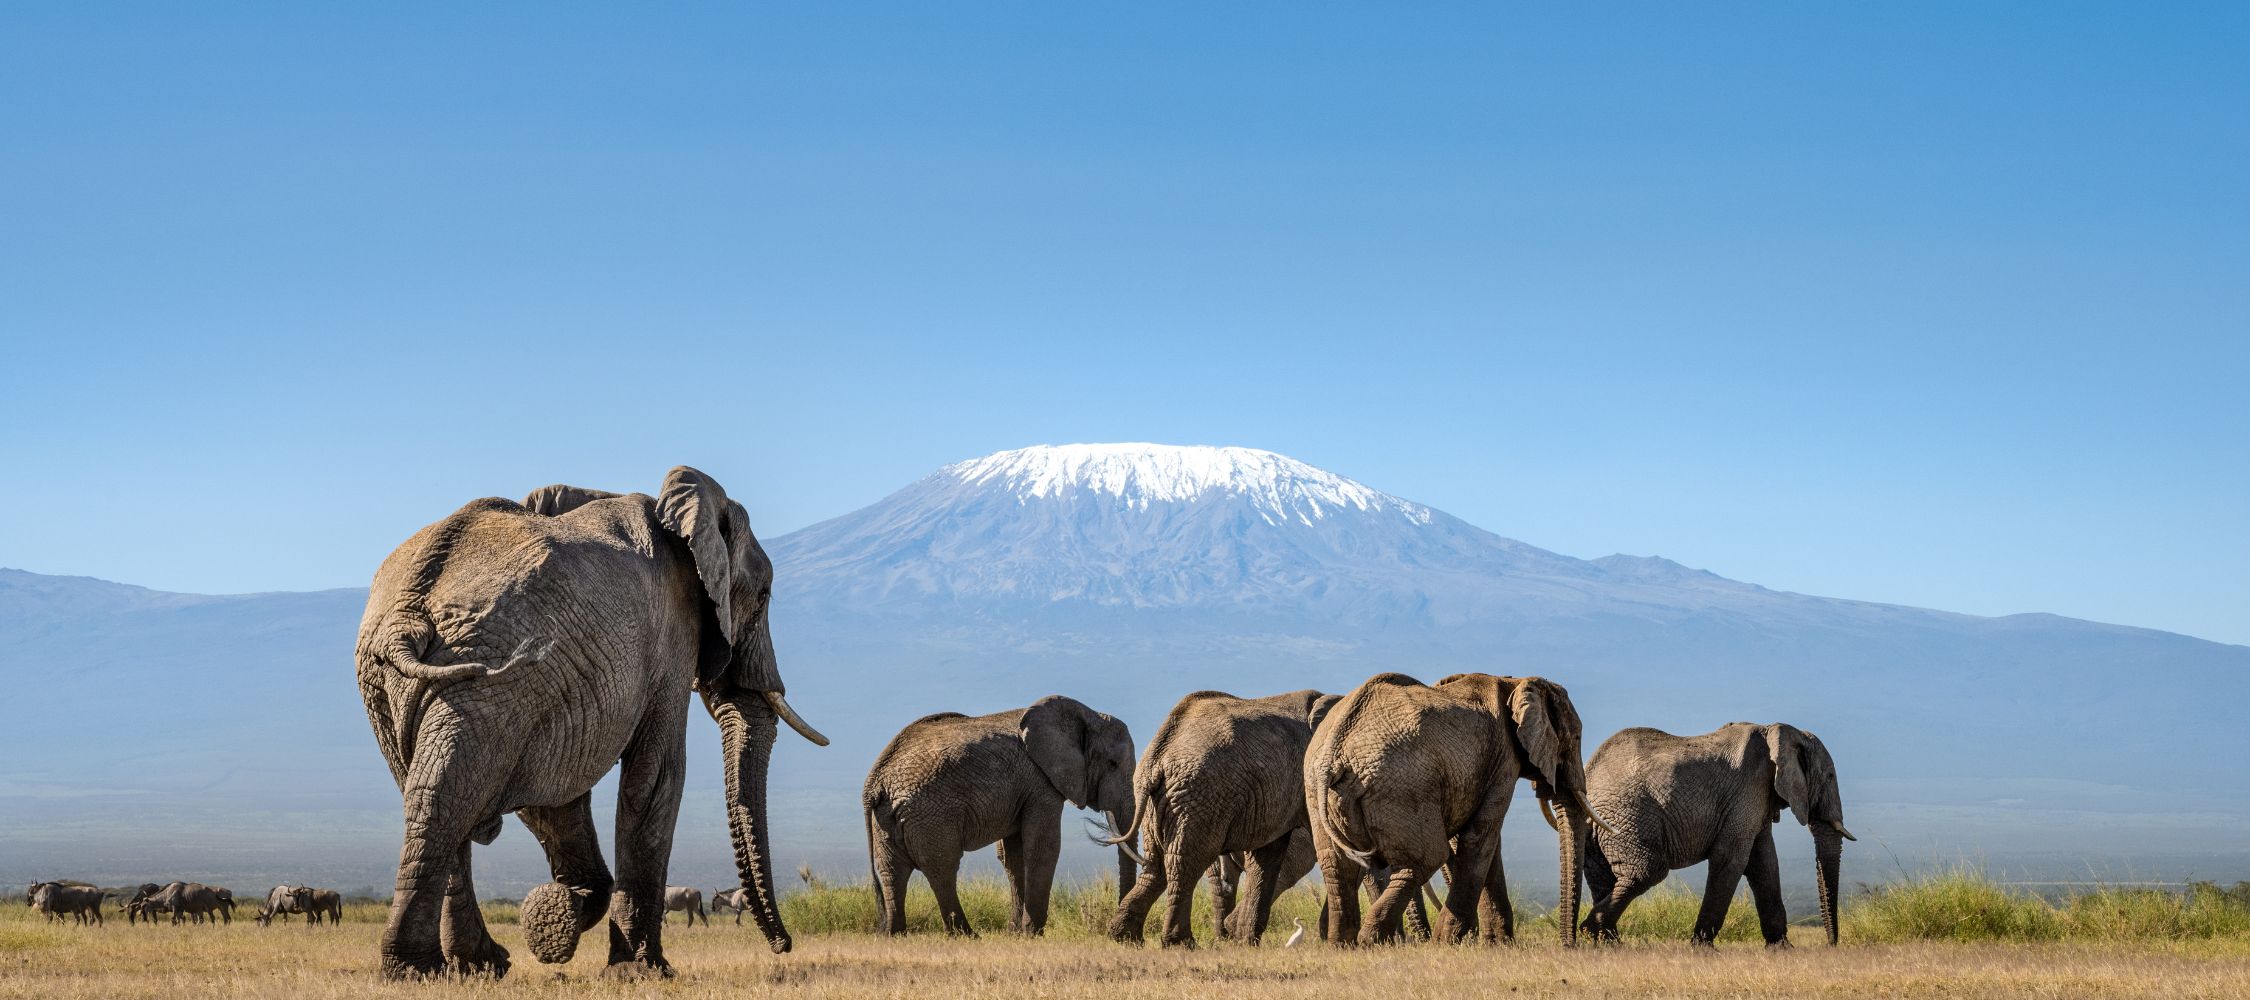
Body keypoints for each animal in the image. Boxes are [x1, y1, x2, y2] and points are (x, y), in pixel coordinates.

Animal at [354, 466, 827, 979]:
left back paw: (474, 965)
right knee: (446, 795)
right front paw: (641, 970)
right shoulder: (671, 633)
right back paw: (423, 969)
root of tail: (408, 611)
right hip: (480, 675)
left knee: (432, 792)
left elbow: (554, 798)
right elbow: (656, 775)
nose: (784, 945)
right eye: (764, 594)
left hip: (408, 685)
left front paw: (557, 918)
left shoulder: (554, 686)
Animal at [864, 696, 1138, 937]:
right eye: (1113, 764)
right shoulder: (1040, 782)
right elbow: (1043, 848)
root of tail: (875, 781)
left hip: (887, 818)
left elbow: (1014, 856)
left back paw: (894, 934)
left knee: (892, 871)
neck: (1086, 714)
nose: (1114, 932)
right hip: (931, 814)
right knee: (942, 868)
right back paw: (967, 935)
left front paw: (1015, 933)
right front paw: (1032, 933)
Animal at [1107, 689, 1339, 947]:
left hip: (1160, 802)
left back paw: (1125, 937)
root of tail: (1158, 754)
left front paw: (1247, 942)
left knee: (1157, 865)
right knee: (1187, 861)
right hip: (1200, 796)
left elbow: (1266, 857)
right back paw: (1182, 943)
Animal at [1305, 672, 1608, 947]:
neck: (1515, 681)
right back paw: (1372, 940)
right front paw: (1452, 941)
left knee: (1337, 866)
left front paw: (1496, 943)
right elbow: (1482, 834)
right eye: (1576, 737)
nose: (1569, 945)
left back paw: (1343, 944)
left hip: (1317, 792)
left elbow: (1486, 841)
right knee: (1425, 858)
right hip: (1402, 787)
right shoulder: (1503, 759)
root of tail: (1335, 750)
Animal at [1580, 722, 1855, 947]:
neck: (1779, 730)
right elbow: (1731, 858)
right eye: (1830, 777)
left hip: (1601, 825)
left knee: (1603, 877)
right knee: (1647, 871)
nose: (1830, 945)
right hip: (1626, 815)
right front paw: (1702, 948)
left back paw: (1608, 942)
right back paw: (1590, 932)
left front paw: (1783, 949)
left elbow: (1764, 864)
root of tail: (1589, 773)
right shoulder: (1749, 789)